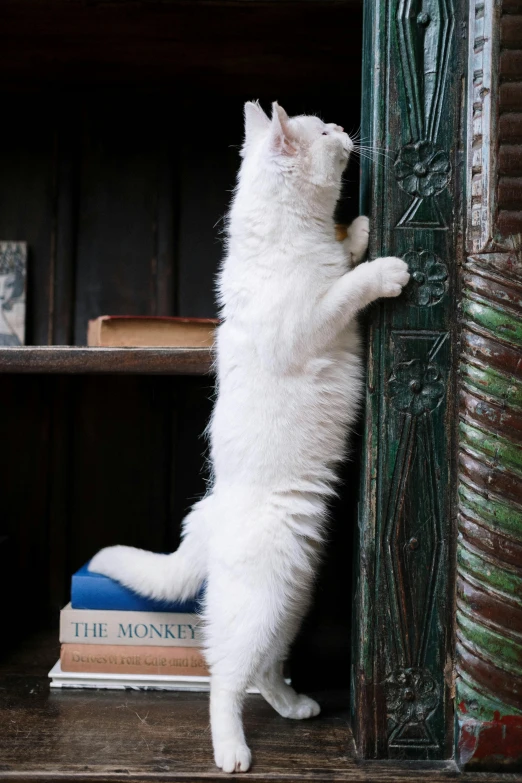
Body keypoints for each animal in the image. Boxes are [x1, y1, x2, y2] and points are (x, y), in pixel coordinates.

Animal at [88, 102, 406, 772]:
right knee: (225, 678)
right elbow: (348, 286)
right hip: (258, 603)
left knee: (262, 667)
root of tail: (206, 514)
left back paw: (294, 705)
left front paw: (357, 231)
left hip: (291, 600)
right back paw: (231, 751)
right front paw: (381, 267)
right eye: (324, 132)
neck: (293, 235)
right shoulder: (314, 320)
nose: (346, 130)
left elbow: (343, 254)